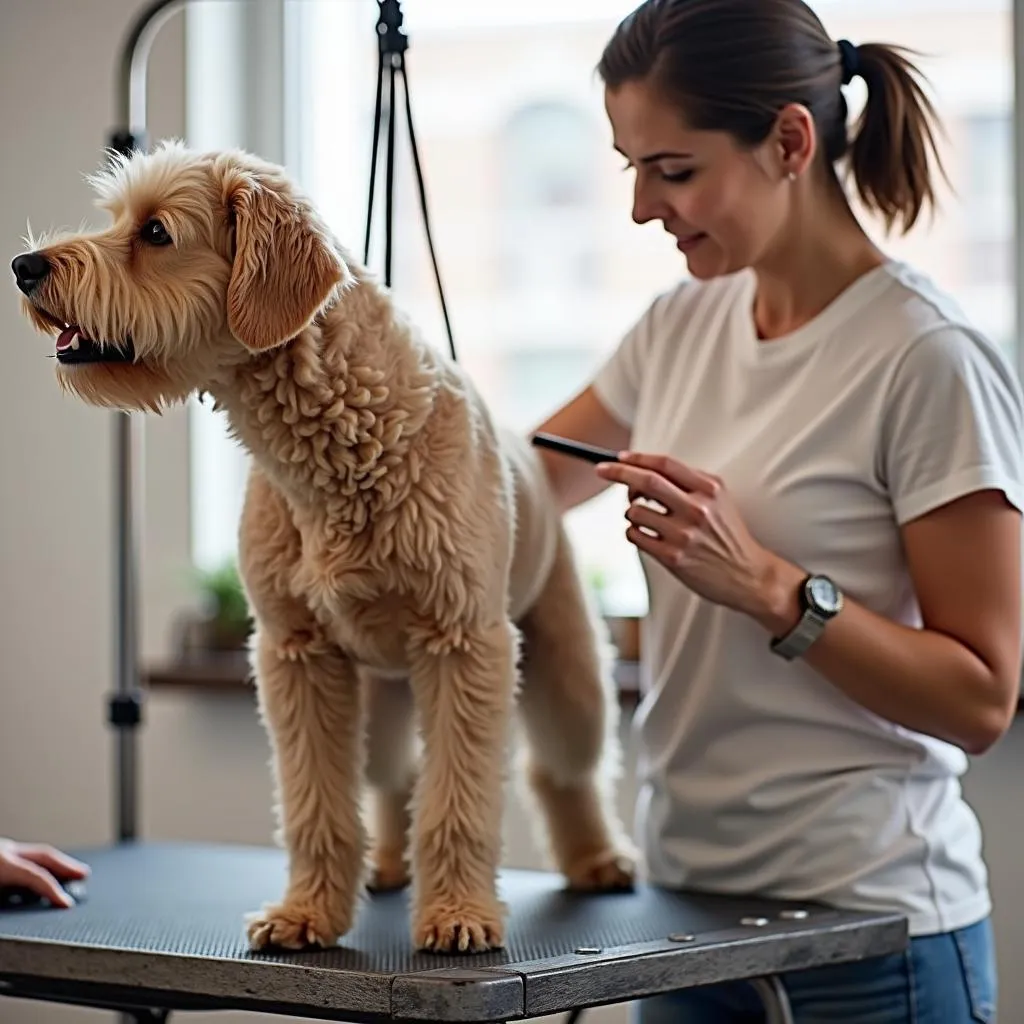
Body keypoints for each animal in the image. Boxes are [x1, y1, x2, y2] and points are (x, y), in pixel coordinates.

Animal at [14, 140, 638, 954]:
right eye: (116, 217)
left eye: (155, 232)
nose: (24, 266)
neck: (343, 446)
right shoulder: (299, 655)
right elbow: (317, 805)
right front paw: (306, 912)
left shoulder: (464, 646)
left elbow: (458, 802)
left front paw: (458, 914)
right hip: (382, 696)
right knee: (393, 779)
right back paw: (388, 865)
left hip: (568, 675)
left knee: (562, 772)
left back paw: (596, 859)